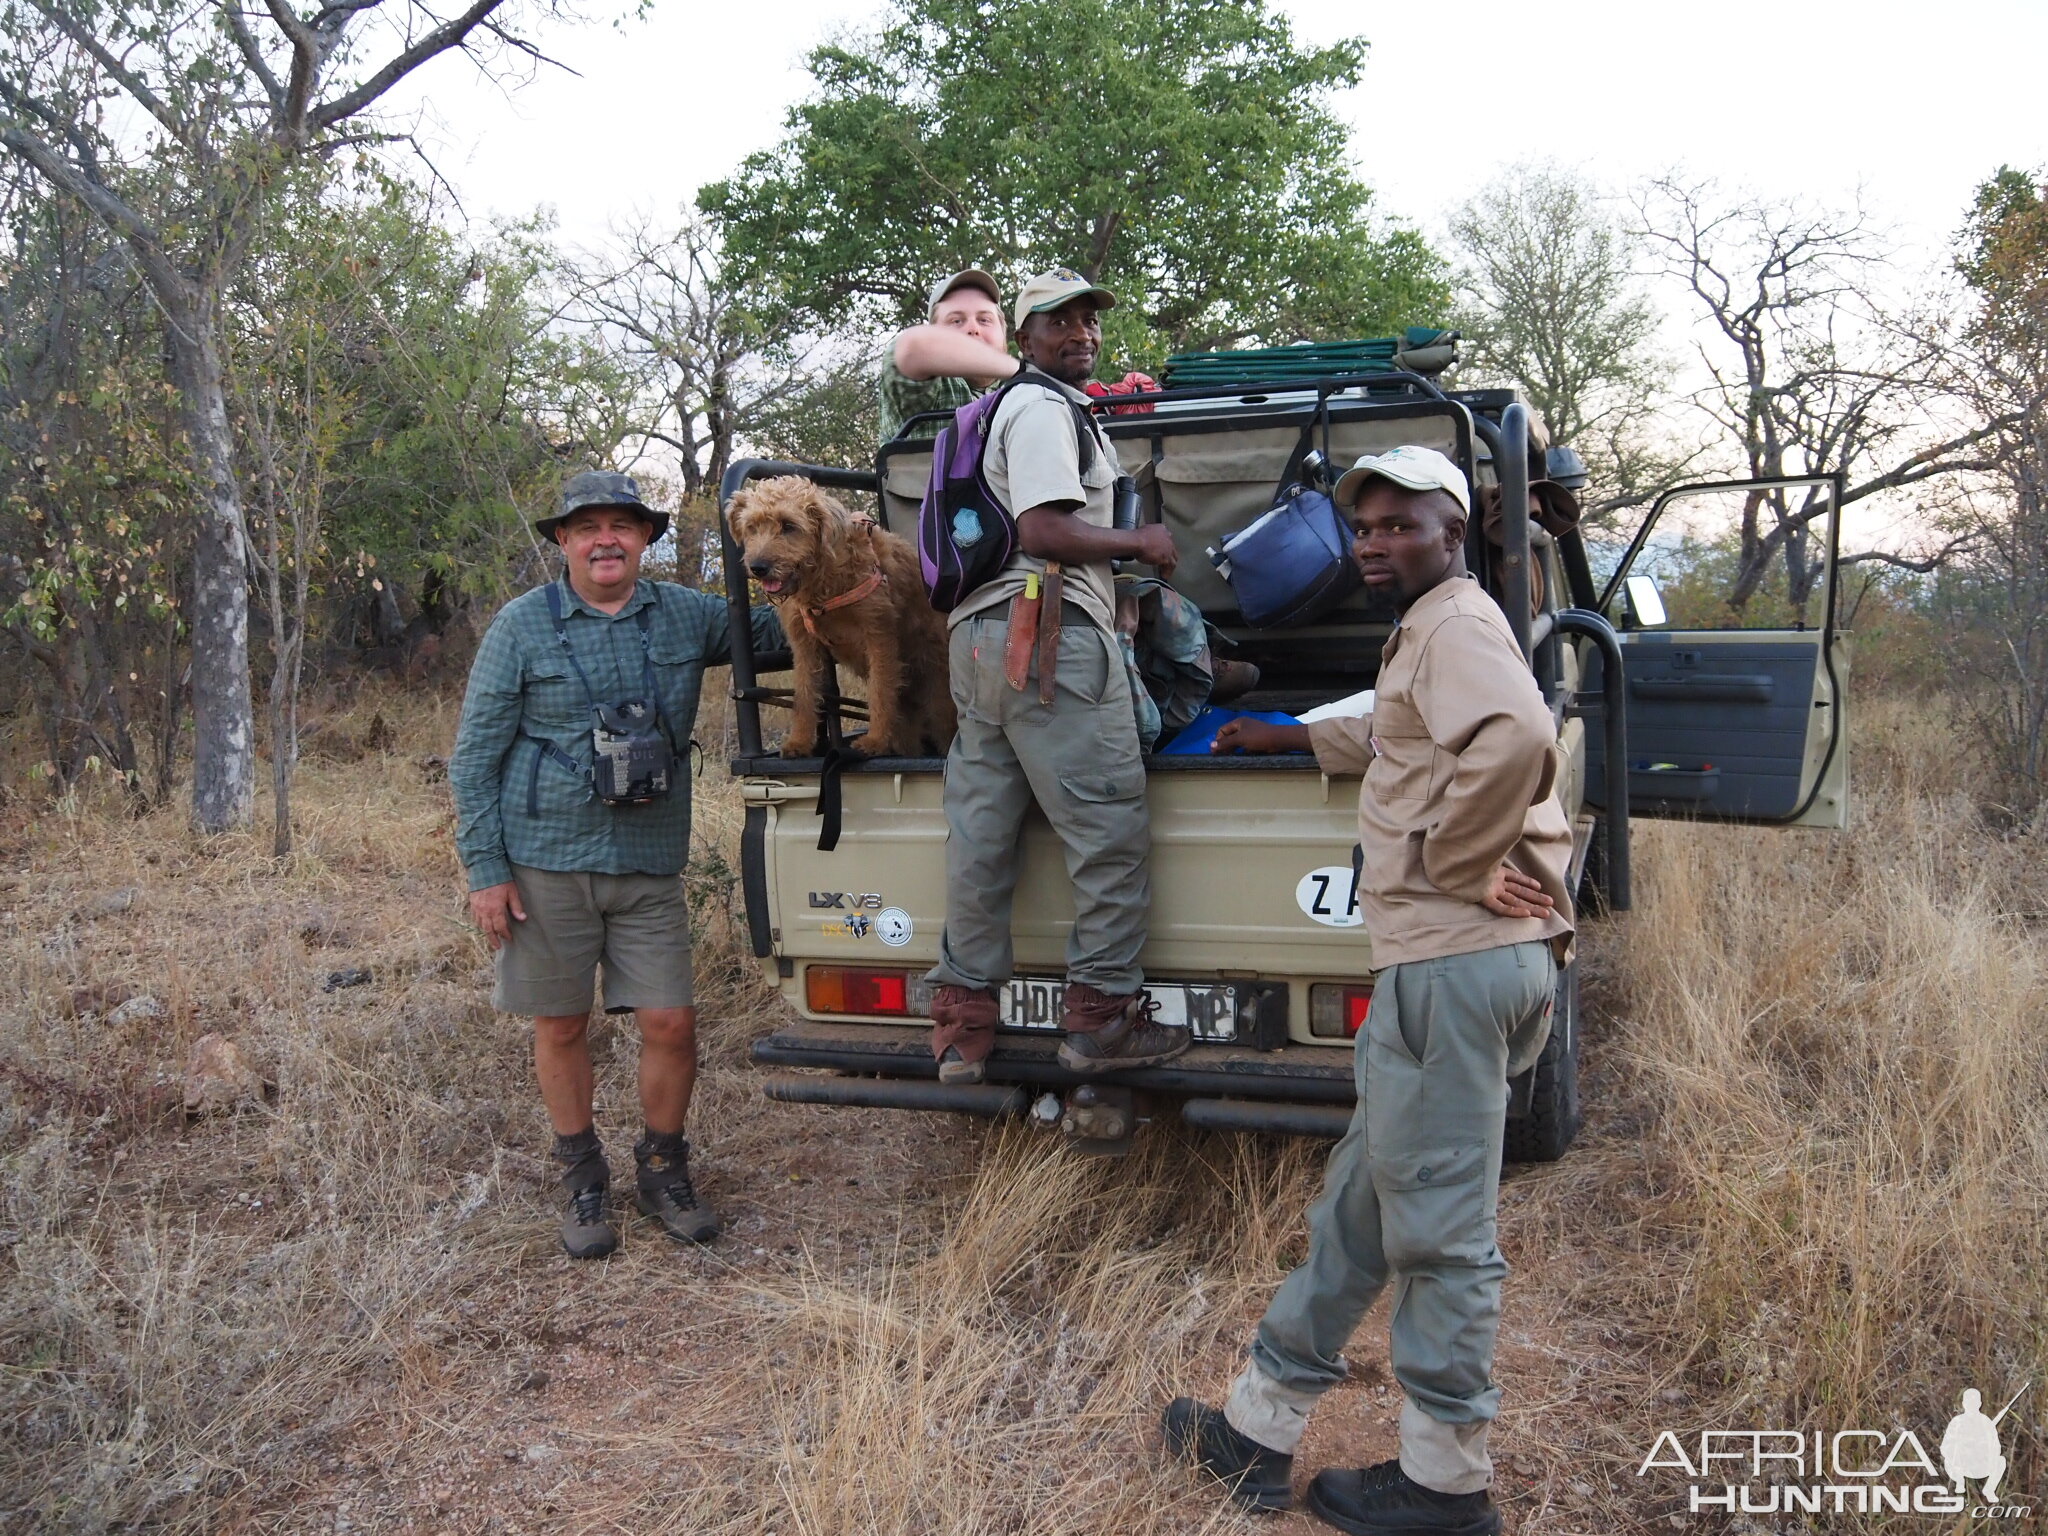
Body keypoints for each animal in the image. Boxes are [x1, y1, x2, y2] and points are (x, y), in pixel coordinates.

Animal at [729, 473, 958, 753]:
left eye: (788, 525)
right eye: (751, 527)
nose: (758, 567)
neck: (825, 584)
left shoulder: (878, 635)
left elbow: (880, 690)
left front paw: (875, 740)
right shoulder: (804, 645)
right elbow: (804, 693)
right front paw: (800, 741)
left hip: (938, 698)